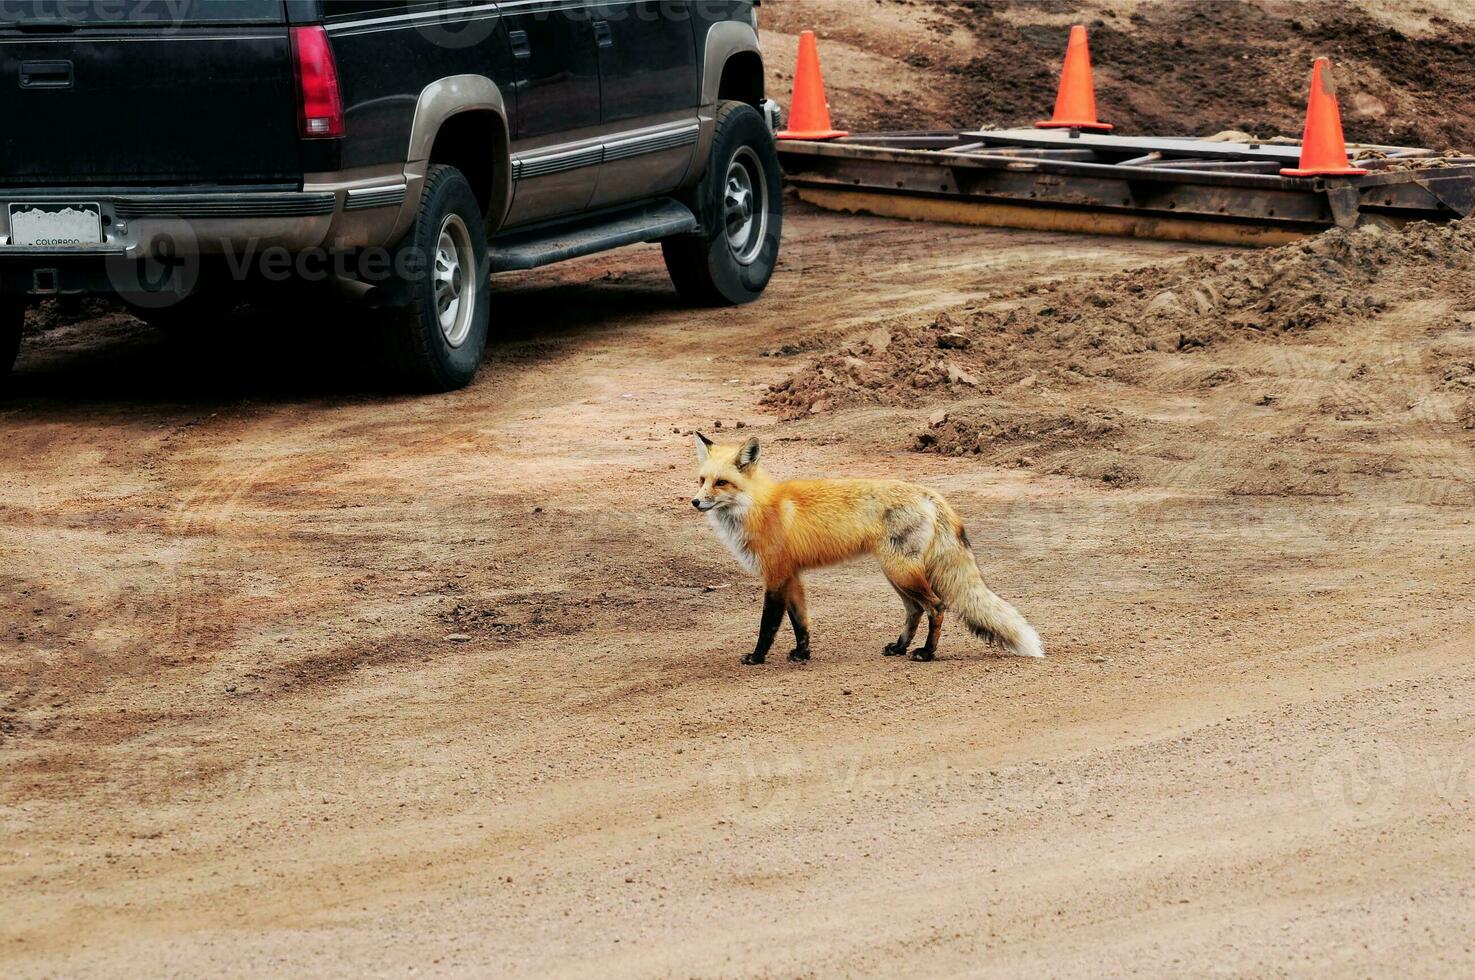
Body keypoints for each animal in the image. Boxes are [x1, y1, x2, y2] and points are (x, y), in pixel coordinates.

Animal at [687, 433, 1044, 667]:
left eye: (721, 483)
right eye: (702, 480)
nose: (695, 502)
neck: (759, 508)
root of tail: (930, 494)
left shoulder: (775, 576)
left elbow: (768, 625)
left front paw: (758, 657)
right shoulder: (793, 576)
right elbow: (801, 622)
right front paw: (802, 654)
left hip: (901, 571)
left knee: (937, 606)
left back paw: (927, 654)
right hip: (896, 574)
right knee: (915, 610)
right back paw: (899, 647)